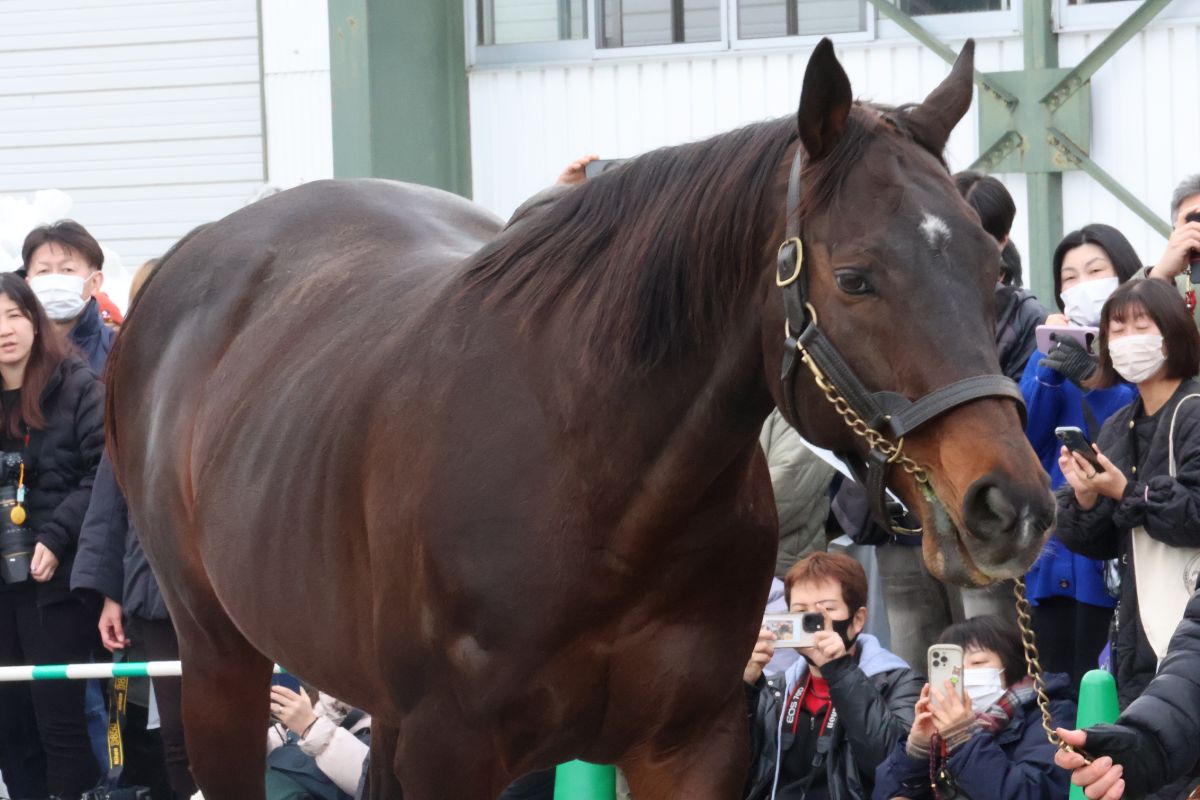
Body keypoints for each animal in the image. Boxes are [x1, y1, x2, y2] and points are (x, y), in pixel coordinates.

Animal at [107, 38, 1053, 799]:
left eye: (992, 271)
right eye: (856, 278)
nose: (1009, 506)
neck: (599, 489)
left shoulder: (691, 745)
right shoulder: (452, 751)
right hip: (218, 660)